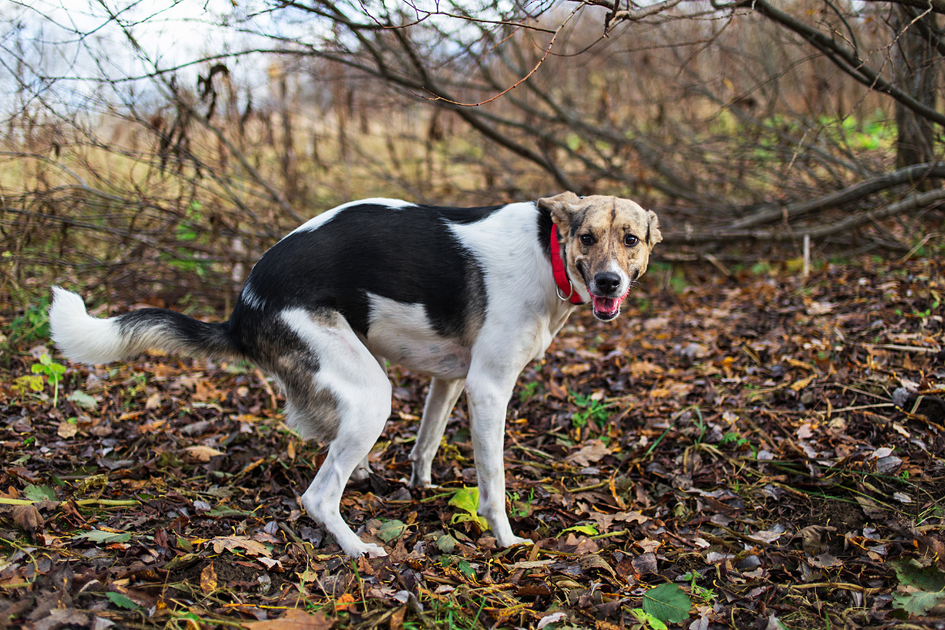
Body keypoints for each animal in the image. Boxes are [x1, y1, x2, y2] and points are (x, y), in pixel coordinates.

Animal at [48, 191, 660, 556]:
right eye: (587, 238)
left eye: (630, 240)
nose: (608, 282)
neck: (546, 253)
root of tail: (242, 310)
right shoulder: (489, 389)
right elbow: (493, 483)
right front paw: (507, 542)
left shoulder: (451, 379)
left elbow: (426, 443)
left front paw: (420, 488)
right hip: (371, 396)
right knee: (318, 496)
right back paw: (357, 548)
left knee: (334, 449)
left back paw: (365, 478)